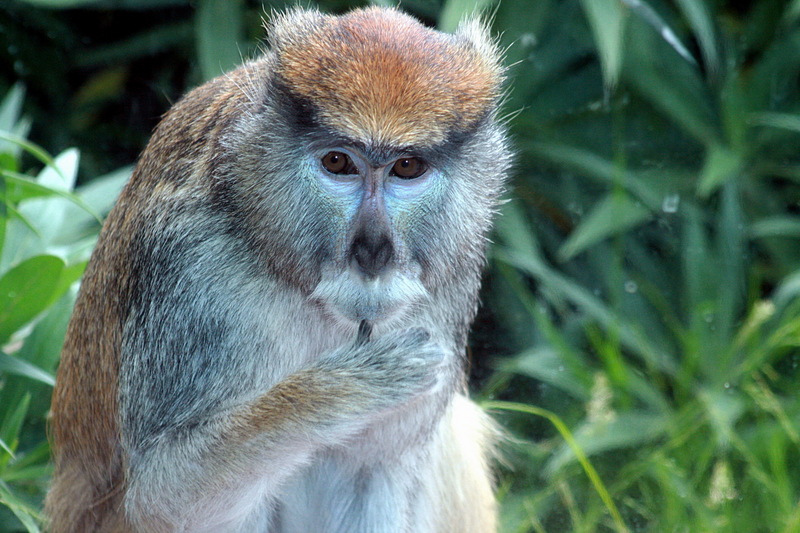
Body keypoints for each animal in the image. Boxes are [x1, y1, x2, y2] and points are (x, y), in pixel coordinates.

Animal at [47, 5, 512, 532]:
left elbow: (373, 469)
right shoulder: (196, 281)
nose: (373, 251)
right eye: (338, 162)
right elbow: (165, 496)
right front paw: (340, 392)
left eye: (407, 167)